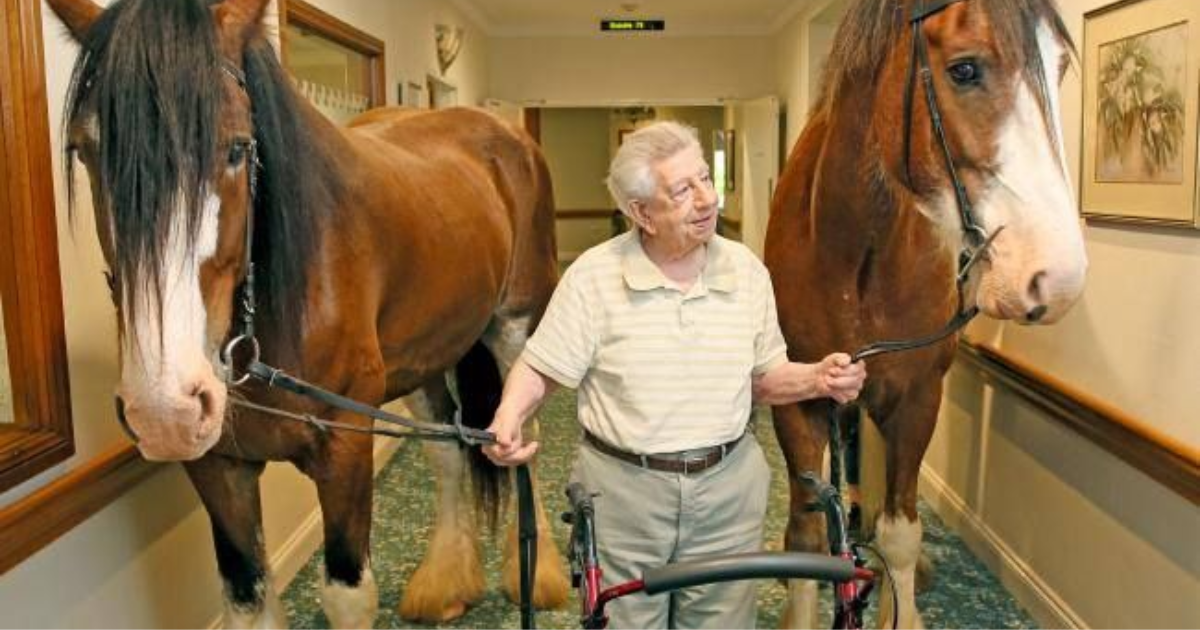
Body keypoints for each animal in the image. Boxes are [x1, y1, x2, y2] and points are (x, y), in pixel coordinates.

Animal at [48, 0, 571, 624]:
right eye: (84, 150)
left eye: (236, 148)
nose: (164, 411)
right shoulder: (217, 467)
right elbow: (248, 596)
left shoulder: (344, 447)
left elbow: (347, 593)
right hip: (424, 354)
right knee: (445, 447)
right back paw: (445, 581)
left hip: (515, 326)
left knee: (521, 438)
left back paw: (536, 576)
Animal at [768, 0, 1089, 624]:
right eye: (964, 69)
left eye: (1060, 68)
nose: (1059, 279)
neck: (856, 253)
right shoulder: (797, 401)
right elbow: (807, 535)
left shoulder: (917, 398)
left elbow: (902, 535)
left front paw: (900, 602)